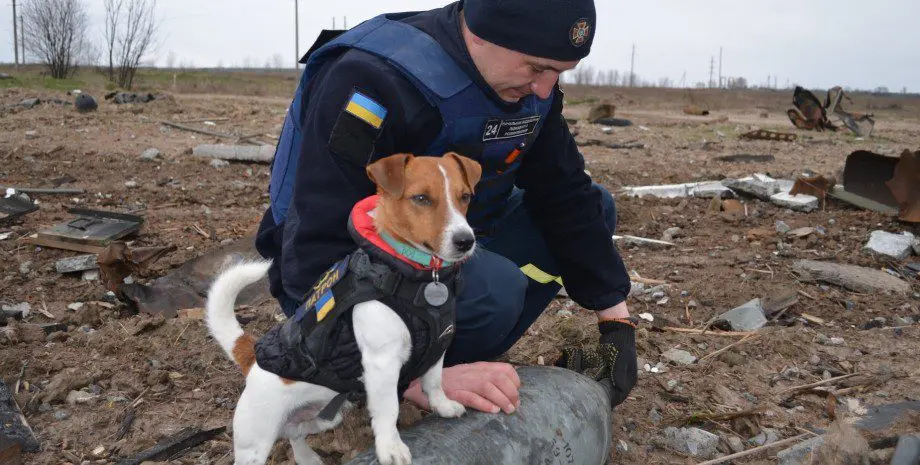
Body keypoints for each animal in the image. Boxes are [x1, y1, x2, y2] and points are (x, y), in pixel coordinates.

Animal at [206, 153, 486, 464]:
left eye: (465, 197)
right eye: (422, 198)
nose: (466, 241)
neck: (419, 277)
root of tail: (251, 359)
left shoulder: (439, 345)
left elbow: (434, 381)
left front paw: (443, 406)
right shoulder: (382, 363)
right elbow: (388, 409)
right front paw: (390, 447)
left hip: (325, 417)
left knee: (296, 433)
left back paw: (307, 457)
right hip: (255, 440)